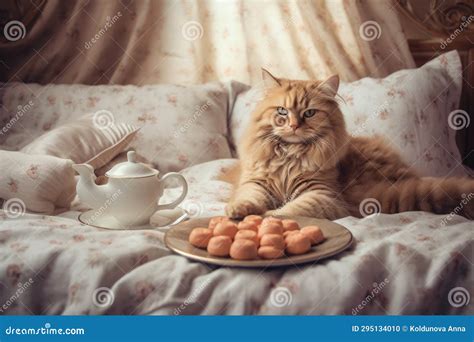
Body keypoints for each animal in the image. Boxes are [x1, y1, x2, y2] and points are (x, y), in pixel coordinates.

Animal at [226, 69, 474, 220]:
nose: (294, 126)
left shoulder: (322, 194)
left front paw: (266, 218)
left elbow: (290, 210)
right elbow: (249, 198)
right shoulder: (255, 183)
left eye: (309, 113)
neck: (291, 154)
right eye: (281, 112)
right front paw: (238, 211)